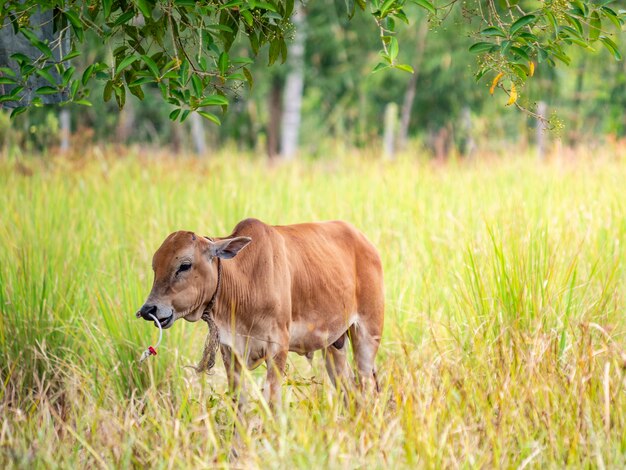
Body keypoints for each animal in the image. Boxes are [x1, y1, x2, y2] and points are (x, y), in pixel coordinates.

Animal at [136, 218, 382, 406]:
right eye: (155, 267)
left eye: (184, 265)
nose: (148, 309)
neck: (246, 279)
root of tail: (366, 243)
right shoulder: (231, 351)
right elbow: (239, 403)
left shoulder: (278, 347)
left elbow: (272, 401)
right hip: (334, 346)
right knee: (350, 391)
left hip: (367, 335)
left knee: (367, 386)